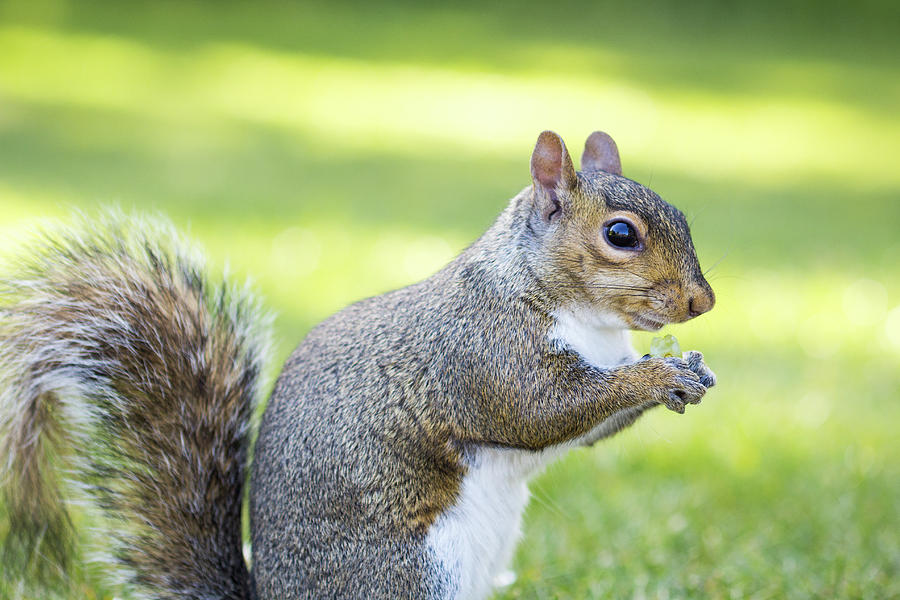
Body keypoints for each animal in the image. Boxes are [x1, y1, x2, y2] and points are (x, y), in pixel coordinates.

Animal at [0, 131, 716, 600]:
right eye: (620, 234)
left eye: (683, 213)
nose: (702, 303)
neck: (584, 320)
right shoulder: (485, 354)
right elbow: (541, 413)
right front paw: (661, 375)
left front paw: (689, 375)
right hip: (411, 575)